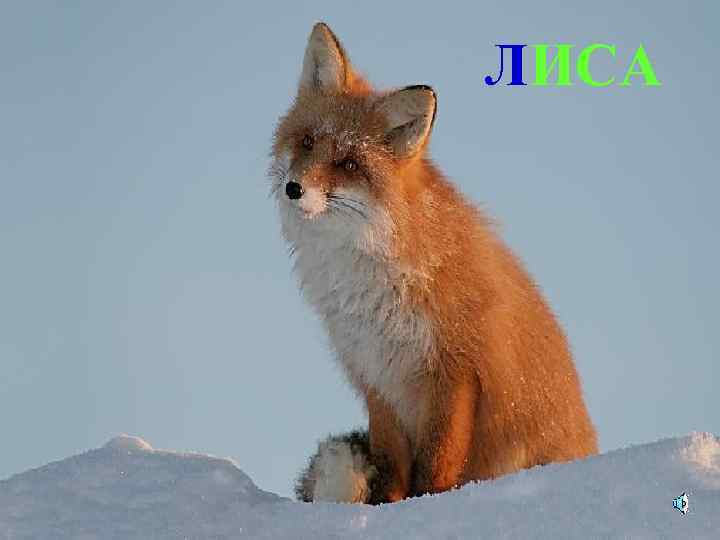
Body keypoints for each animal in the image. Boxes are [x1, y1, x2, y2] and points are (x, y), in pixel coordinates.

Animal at [269, 22, 598, 505]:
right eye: (308, 141)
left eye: (349, 163)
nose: (294, 188)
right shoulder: (376, 375)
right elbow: (390, 467)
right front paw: (388, 510)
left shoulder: (455, 371)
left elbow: (438, 465)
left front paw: (428, 506)